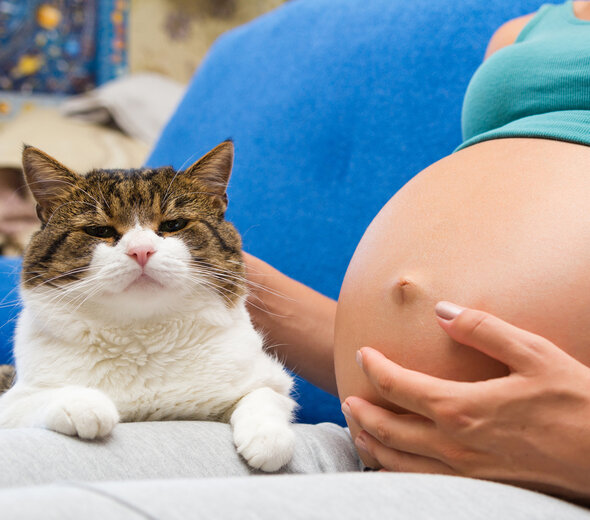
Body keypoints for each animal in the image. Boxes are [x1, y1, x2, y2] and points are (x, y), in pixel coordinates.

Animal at [0, 141, 296, 472]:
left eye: (173, 224)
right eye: (100, 231)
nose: (141, 250)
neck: (143, 337)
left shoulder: (269, 378)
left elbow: (263, 395)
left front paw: (268, 438)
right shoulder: (12, 401)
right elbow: (37, 399)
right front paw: (84, 404)